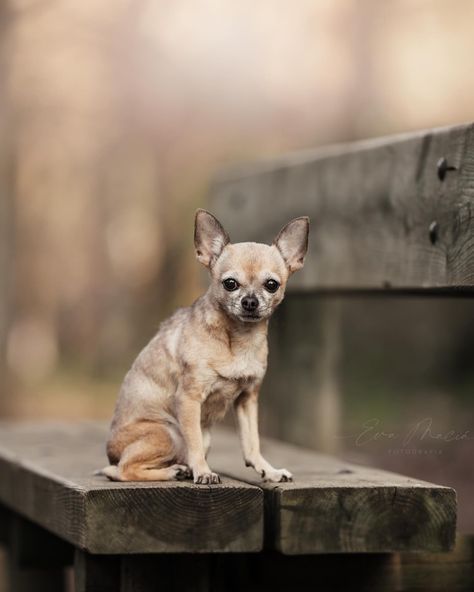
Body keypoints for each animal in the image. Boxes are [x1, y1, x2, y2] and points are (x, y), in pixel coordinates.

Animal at [99, 210, 308, 484]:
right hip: (169, 433)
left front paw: (268, 470)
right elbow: (194, 444)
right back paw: (174, 471)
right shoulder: (189, 399)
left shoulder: (247, 400)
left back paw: (181, 469)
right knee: (122, 470)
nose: (250, 301)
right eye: (230, 283)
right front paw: (204, 471)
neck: (239, 338)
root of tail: (110, 453)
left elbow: (252, 443)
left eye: (271, 285)